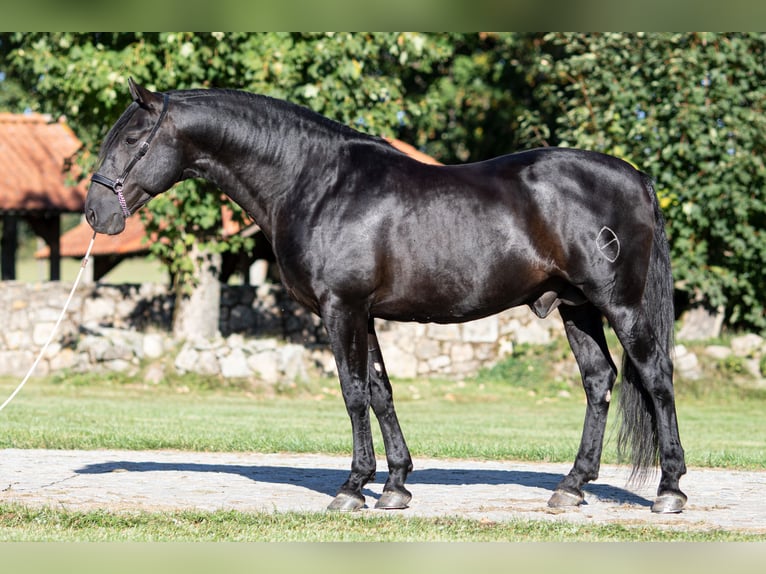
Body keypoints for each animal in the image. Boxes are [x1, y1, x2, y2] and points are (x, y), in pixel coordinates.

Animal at [85, 79, 688, 516]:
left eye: (132, 140)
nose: (96, 214)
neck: (316, 181)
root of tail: (636, 178)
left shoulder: (342, 309)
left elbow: (353, 393)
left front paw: (353, 488)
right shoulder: (364, 314)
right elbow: (380, 391)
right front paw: (396, 484)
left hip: (620, 305)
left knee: (655, 377)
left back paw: (669, 490)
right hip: (575, 307)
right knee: (599, 381)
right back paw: (572, 486)